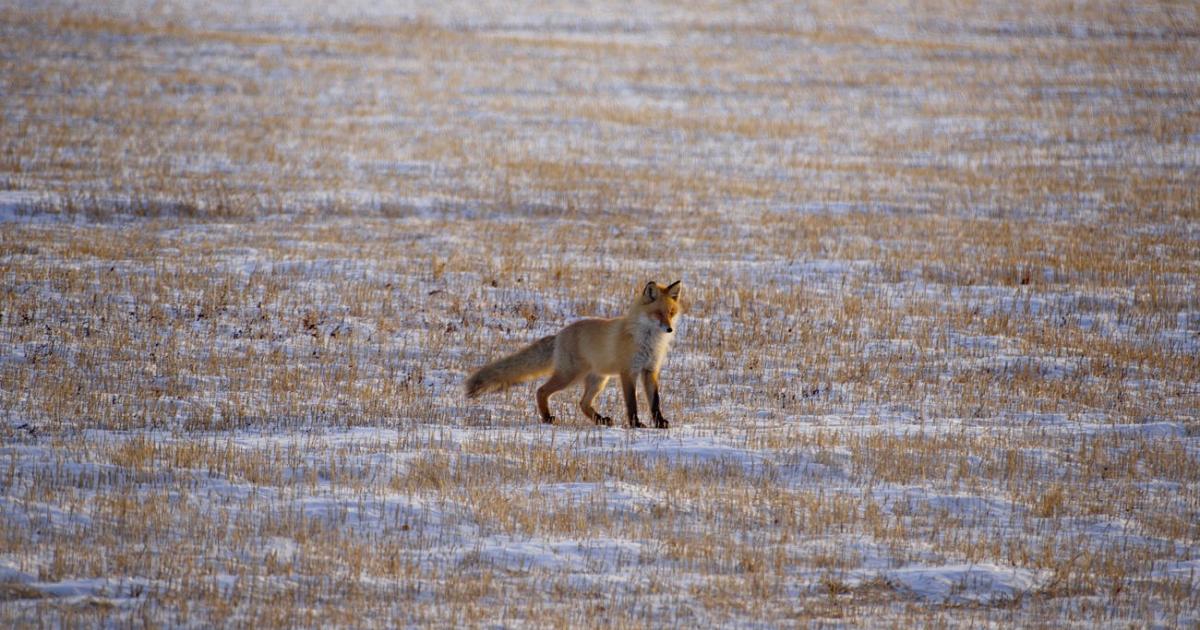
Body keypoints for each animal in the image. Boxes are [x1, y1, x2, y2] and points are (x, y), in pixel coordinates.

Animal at [465, 280, 683, 429]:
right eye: (658, 313)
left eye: (671, 312)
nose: (669, 329)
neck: (648, 341)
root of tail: (560, 334)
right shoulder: (628, 372)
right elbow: (632, 403)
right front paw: (635, 424)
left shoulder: (650, 371)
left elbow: (655, 402)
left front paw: (659, 423)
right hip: (570, 376)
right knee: (541, 391)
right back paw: (547, 418)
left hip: (598, 380)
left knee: (583, 403)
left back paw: (600, 420)